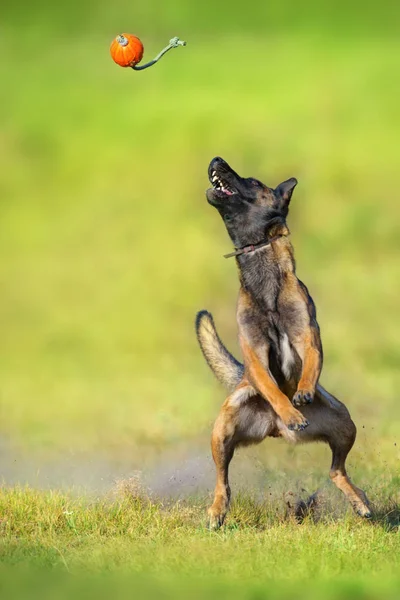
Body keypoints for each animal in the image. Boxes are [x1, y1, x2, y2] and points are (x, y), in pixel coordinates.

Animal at [195, 157, 370, 528]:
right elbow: (272, 388)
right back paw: (217, 510)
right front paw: (290, 410)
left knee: (336, 470)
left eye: (253, 181)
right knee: (222, 479)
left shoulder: (308, 337)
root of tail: (273, 429)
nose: (216, 160)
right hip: (223, 428)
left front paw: (301, 393)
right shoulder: (255, 354)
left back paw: (360, 501)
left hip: (343, 423)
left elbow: (310, 363)